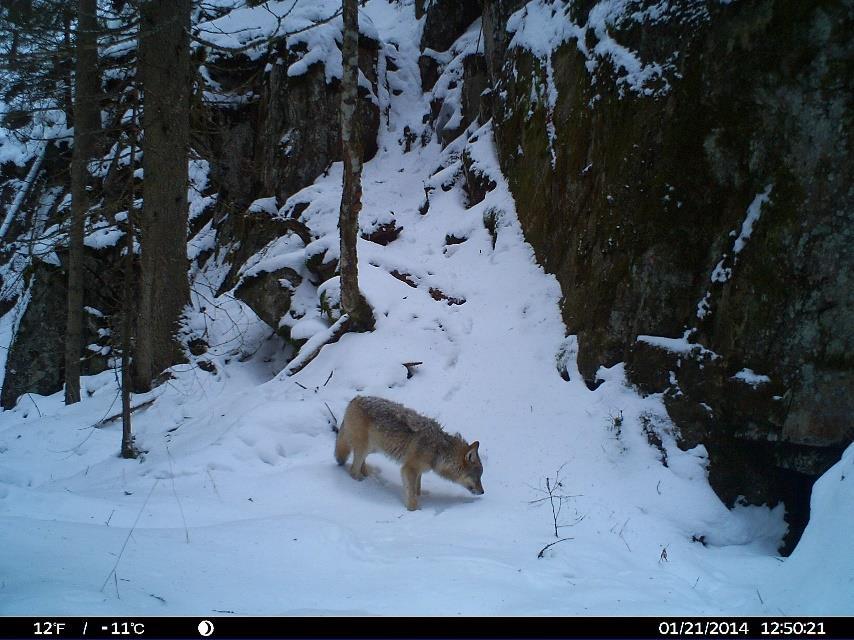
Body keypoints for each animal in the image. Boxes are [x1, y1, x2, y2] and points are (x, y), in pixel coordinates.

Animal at [334, 396, 484, 510]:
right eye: (477, 477)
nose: (483, 492)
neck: (439, 450)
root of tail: (355, 398)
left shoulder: (418, 471)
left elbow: (417, 488)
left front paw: (420, 497)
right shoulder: (409, 469)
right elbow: (411, 493)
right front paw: (414, 509)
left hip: (372, 448)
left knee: (360, 463)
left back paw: (367, 473)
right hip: (365, 448)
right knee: (353, 469)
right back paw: (360, 481)